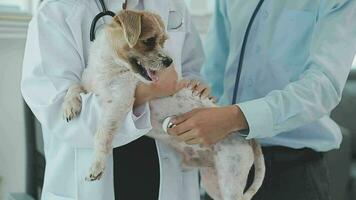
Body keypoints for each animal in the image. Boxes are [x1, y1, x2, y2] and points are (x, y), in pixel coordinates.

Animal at [62, 9, 266, 200]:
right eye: (149, 40)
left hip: (230, 181)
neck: (109, 70)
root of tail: (246, 136)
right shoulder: (88, 85)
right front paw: (69, 105)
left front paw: (97, 164)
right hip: (213, 182)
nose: (169, 62)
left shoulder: (119, 103)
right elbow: (73, 87)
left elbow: (102, 133)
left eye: (163, 41)